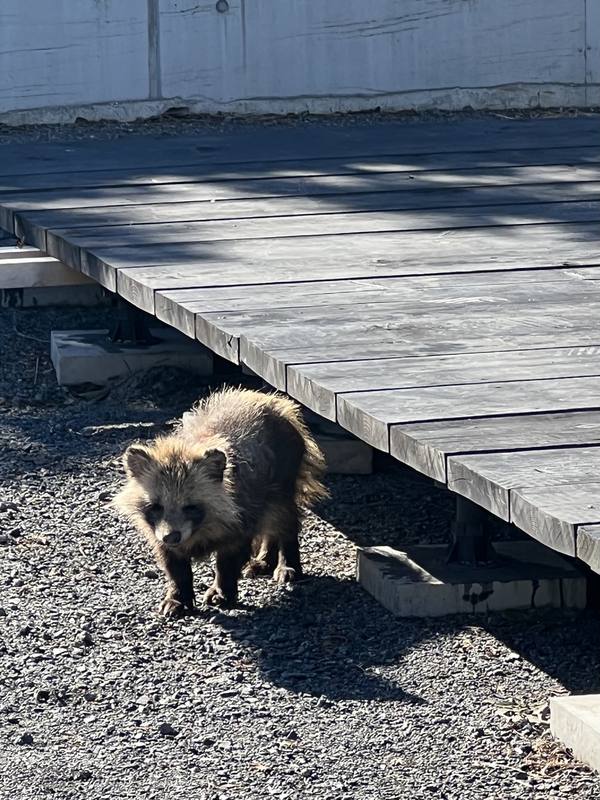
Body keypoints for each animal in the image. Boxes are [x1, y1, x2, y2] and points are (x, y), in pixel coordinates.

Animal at [114, 390, 326, 620]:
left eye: (190, 506)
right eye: (156, 506)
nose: (172, 537)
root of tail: (271, 399)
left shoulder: (240, 511)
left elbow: (229, 557)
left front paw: (221, 589)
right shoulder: (157, 531)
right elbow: (173, 564)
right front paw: (177, 595)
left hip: (283, 475)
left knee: (283, 517)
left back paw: (287, 562)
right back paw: (265, 559)